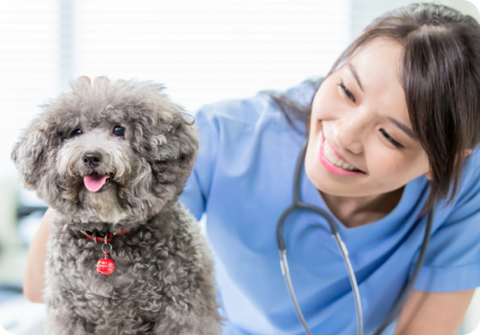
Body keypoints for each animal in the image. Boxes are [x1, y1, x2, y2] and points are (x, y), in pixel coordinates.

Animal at [11, 77, 221, 334]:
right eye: (76, 131)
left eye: (119, 130)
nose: (91, 156)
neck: (107, 236)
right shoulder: (68, 312)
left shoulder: (183, 310)